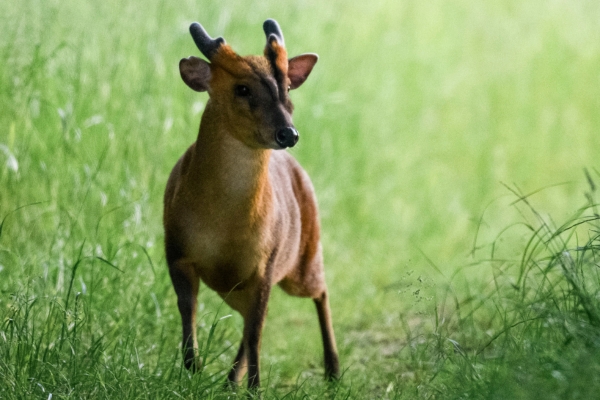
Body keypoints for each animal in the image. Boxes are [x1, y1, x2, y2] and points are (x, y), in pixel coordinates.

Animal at [164, 20, 340, 390]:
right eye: (242, 89)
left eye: (286, 87)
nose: (288, 134)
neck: (222, 227)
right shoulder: (176, 250)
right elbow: (189, 313)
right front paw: (191, 371)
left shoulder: (266, 265)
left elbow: (257, 334)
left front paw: (256, 389)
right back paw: (229, 381)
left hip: (304, 255)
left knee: (320, 291)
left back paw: (333, 369)